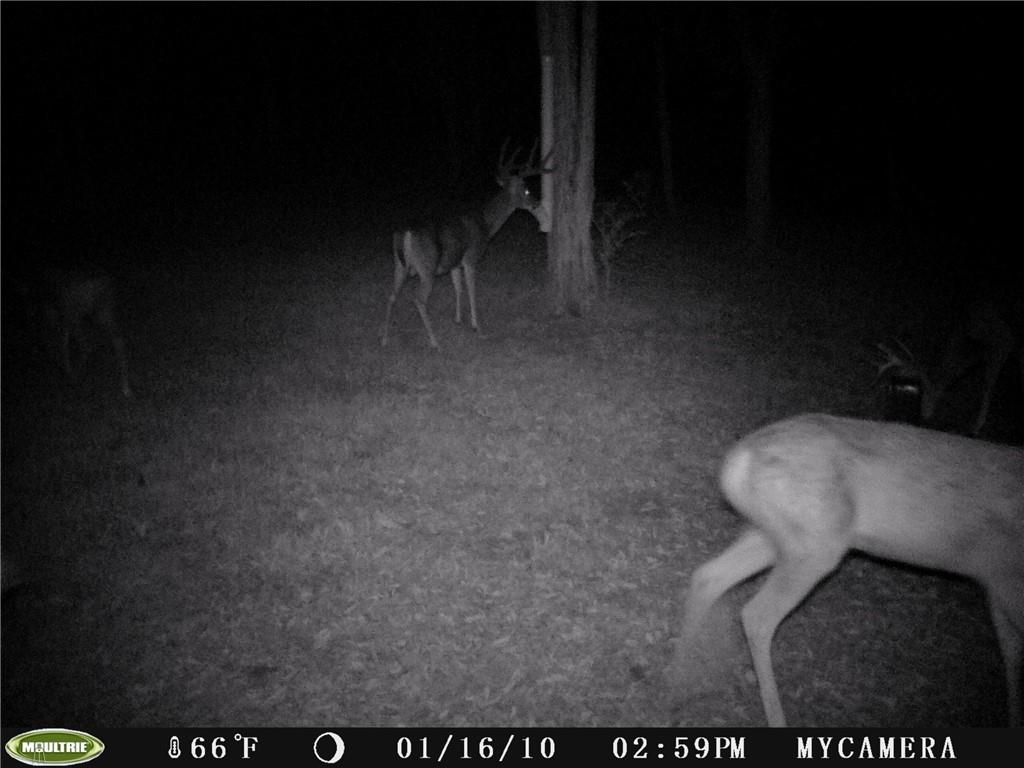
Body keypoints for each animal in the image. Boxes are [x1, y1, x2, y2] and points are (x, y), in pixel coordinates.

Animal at [15, 265, 133, 397]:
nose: (27, 318)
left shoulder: (62, 315)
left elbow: (62, 343)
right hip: (104, 312)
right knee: (117, 342)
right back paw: (125, 387)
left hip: (80, 313)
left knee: (85, 344)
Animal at [380, 140, 550, 349]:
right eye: (526, 190)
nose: (536, 203)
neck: (485, 224)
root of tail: (405, 233)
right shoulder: (471, 257)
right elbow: (471, 291)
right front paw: (478, 328)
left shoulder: (454, 263)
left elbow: (458, 288)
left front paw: (458, 319)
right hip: (427, 267)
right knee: (418, 299)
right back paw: (435, 341)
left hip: (399, 265)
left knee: (391, 295)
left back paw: (384, 339)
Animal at [670, 413, 1024, 727]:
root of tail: (737, 462)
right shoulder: (1007, 583)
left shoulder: (998, 587)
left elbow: (1012, 657)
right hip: (817, 546)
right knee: (756, 614)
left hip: (776, 535)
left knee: (708, 576)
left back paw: (677, 686)